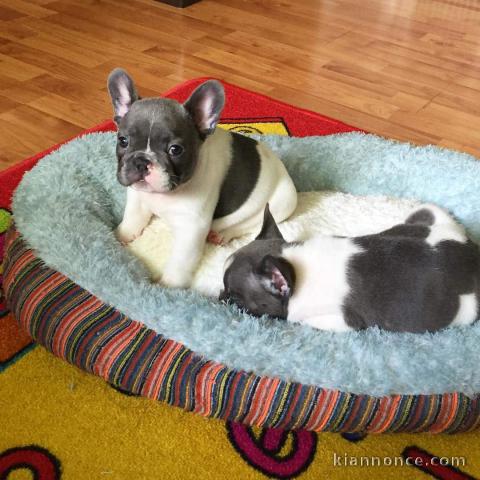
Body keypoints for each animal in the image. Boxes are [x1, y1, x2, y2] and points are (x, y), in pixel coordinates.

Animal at [107, 69, 298, 286]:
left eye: (175, 149)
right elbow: (132, 218)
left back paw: (221, 235)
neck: (164, 195)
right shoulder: (138, 199)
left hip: (283, 203)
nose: (141, 161)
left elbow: (180, 262)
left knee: (252, 224)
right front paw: (119, 236)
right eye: (123, 141)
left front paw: (168, 286)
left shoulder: (191, 228)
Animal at [221, 203, 480, 334]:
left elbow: (299, 321)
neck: (294, 266)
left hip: (465, 311)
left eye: (235, 297)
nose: (221, 297)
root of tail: (472, 251)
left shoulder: (341, 321)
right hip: (428, 214)